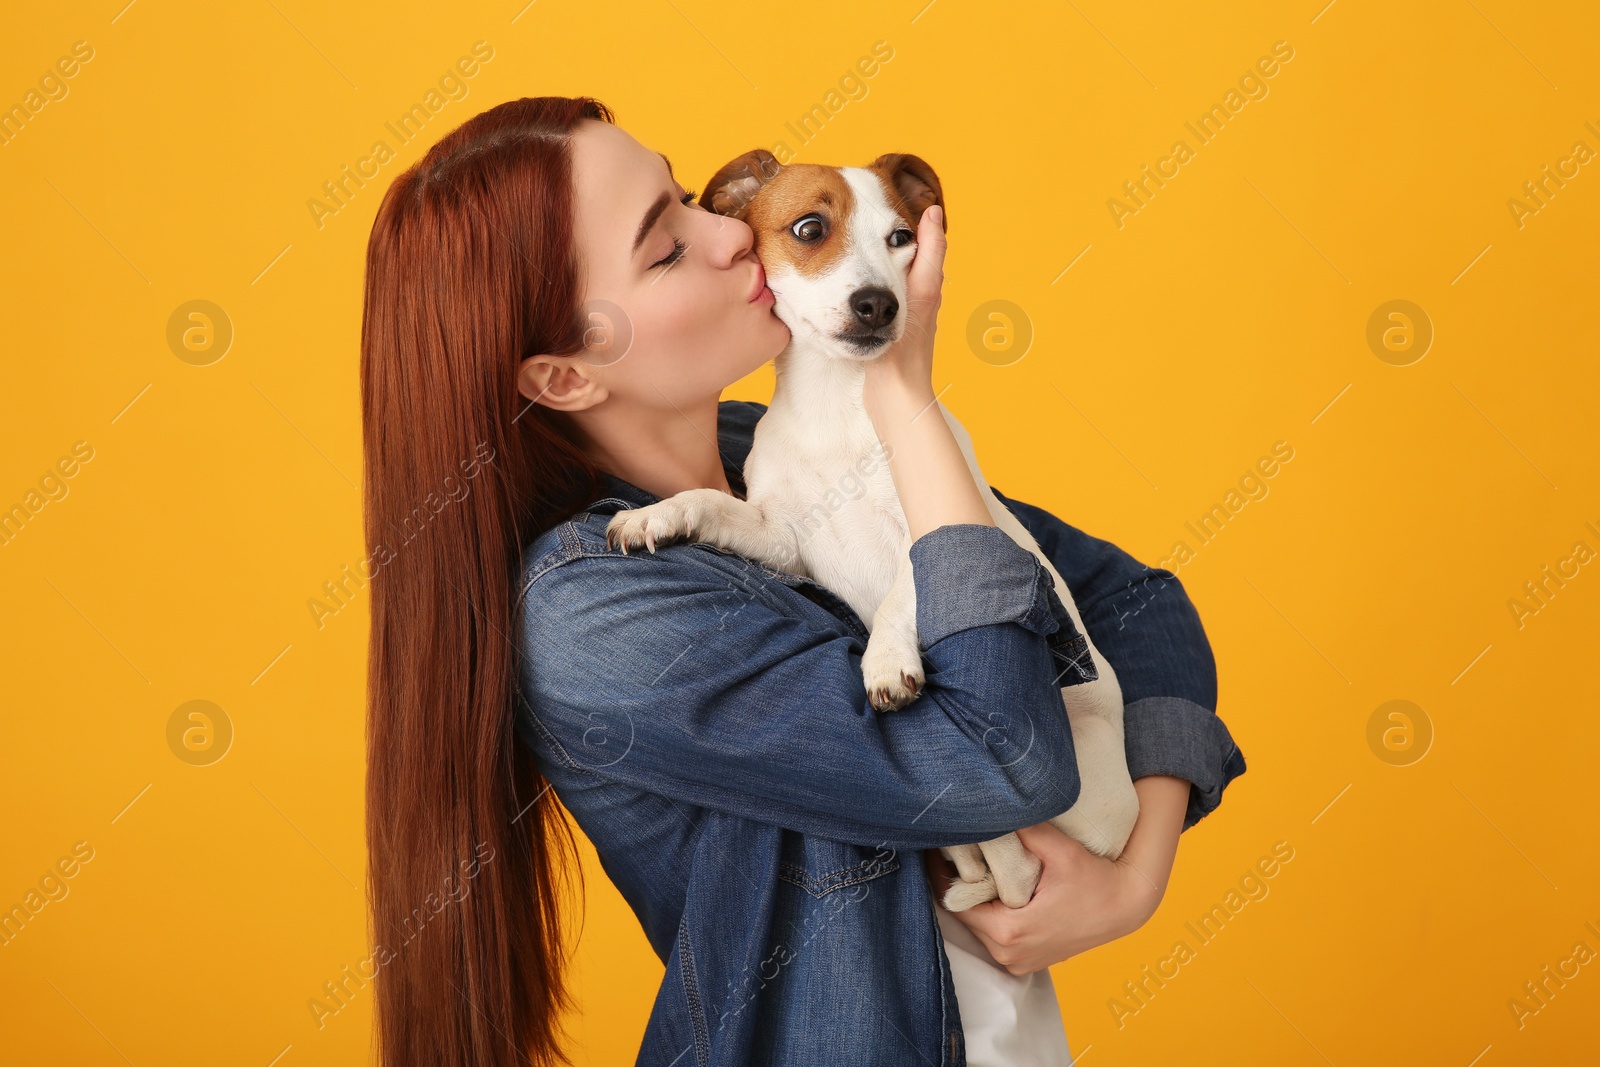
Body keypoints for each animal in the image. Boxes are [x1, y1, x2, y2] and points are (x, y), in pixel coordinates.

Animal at [601, 150, 1139, 915]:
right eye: (809, 227)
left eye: (902, 239)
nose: (878, 304)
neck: (837, 401)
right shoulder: (783, 536)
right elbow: (710, 500)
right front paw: (658, 513)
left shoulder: (936, 527)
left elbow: (899, 595)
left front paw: (886, 663)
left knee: (1014, 866)